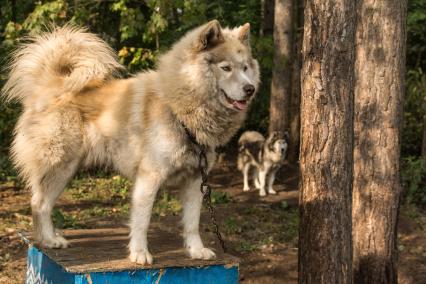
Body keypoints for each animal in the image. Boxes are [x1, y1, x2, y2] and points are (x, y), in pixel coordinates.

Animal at [2, 21, 260, 266]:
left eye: (245, 67)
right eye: (225, 68)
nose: (250, 89)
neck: (178, 108)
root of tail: (51, 84)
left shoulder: (196, 179)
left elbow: (192, 222)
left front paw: (196, 250)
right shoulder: (150, 176)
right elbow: (142, 221)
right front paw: (139, 254)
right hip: (60, 165)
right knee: (40, 203)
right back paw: (51, 240)